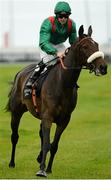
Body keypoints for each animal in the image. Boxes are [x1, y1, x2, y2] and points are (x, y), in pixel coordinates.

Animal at [6, 25, 107, 177]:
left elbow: (53, 145)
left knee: (41, 134)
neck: (62, 83)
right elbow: (47, 144)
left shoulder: (64, 120)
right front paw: (42, 170)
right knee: (15, 136)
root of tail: (20, 72)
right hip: (16, 112)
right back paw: (12, 163)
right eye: (85, 47)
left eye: (97, 45)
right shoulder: (48, 117)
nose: (103, 67)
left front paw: (48, 168)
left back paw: (39, 158)